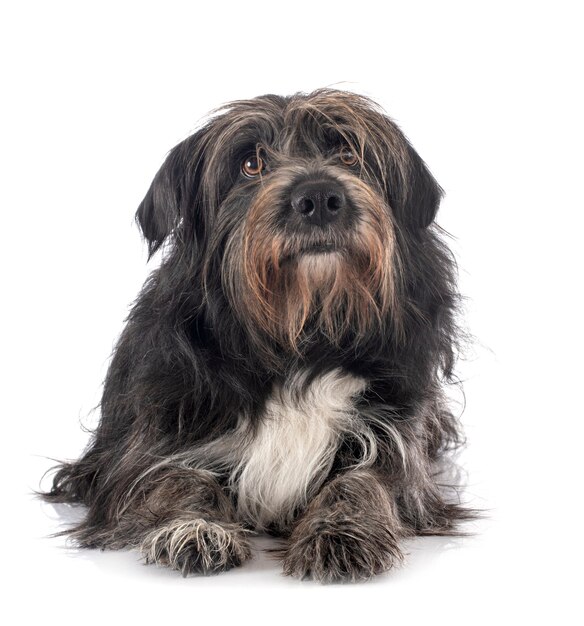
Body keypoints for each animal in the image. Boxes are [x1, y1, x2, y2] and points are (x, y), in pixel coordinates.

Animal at [42, 88, 470, 580]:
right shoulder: (146, 448)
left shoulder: (397, 443)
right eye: (251, 164)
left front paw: (341, 533)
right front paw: (197, 528)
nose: (319, 196)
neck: (298, 337)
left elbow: (363, 481)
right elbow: (176, 480)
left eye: (348, 153)